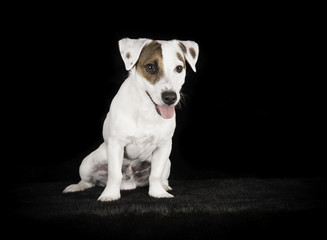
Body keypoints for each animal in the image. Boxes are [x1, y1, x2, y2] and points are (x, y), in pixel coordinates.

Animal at [62, 38, 199, 202]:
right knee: (88, 181)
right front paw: (110, 195)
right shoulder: (116, 144)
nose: (170, 97)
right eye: (150, 67)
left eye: (179, 68)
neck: (147, 109)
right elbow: (114, 174)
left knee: (162, 176)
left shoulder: (164, 146)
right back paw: (76, 187)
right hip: (87, 163)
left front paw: (158, 193)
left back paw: (165, 186)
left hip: (168, 163)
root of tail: (130, 181)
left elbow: (155, 174)